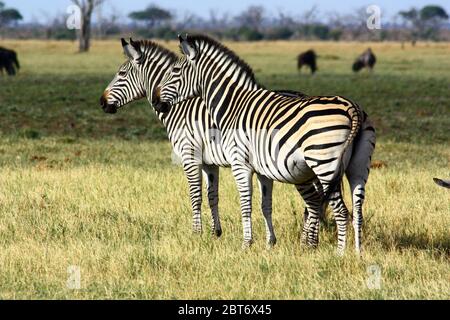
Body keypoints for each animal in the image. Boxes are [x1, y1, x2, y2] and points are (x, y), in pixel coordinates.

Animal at [154, 35, 372, 254]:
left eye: (175, 71)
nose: (156, 103)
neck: (233, 106)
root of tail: (351, 107)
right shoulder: (263, 170)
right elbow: (264, 205)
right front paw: (269, 243)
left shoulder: (240, 164)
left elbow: (245, 204)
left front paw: (246, 244)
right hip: (358, 167)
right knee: (357, 210)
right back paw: (358, 253)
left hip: (324, 164)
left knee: (342, 211)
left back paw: (340, 254)